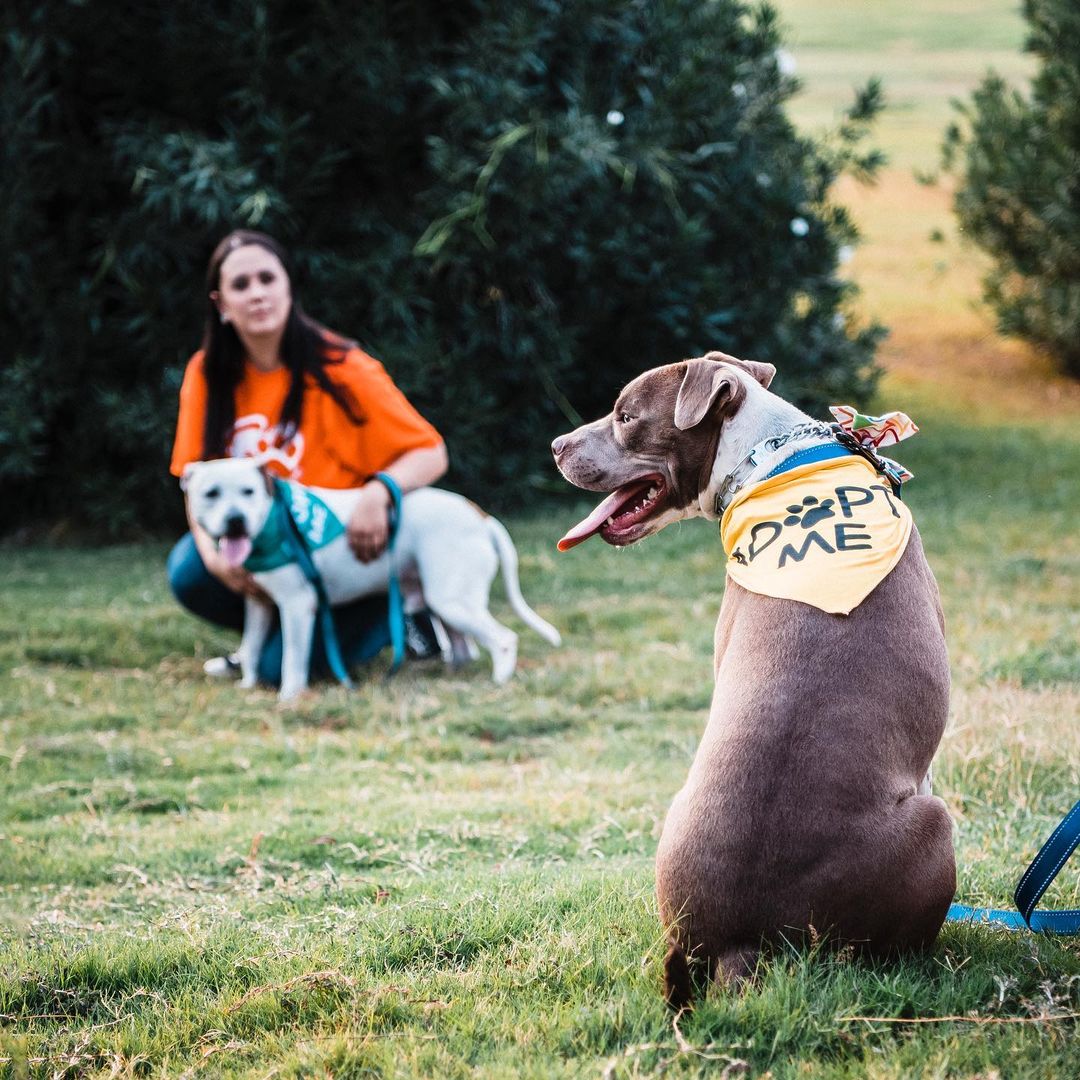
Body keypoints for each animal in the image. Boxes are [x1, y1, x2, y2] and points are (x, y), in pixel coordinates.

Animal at [181, 457, 561, 699]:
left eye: (248, 492)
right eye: (211, 493)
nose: (235, 520)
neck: (275, 519)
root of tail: (480, 516)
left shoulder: (297, 605)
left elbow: (290, 659)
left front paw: (289, 696)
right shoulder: (257, 604)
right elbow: (253, 647)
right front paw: (247, 684)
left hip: (452, 600)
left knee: (504, 639)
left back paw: (499, 679)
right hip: (442, 601)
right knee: (463, 648)